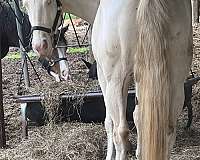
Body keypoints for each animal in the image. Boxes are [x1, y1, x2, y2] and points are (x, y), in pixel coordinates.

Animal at [23, 0, 192, 160]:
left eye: (48, 2)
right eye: (25, 5)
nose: (40, 45)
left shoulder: (103, 77)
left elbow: (109, 122)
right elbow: (139, 117)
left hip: (116, 84)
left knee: (121, 132)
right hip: (175, 83)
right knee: (168, 129)